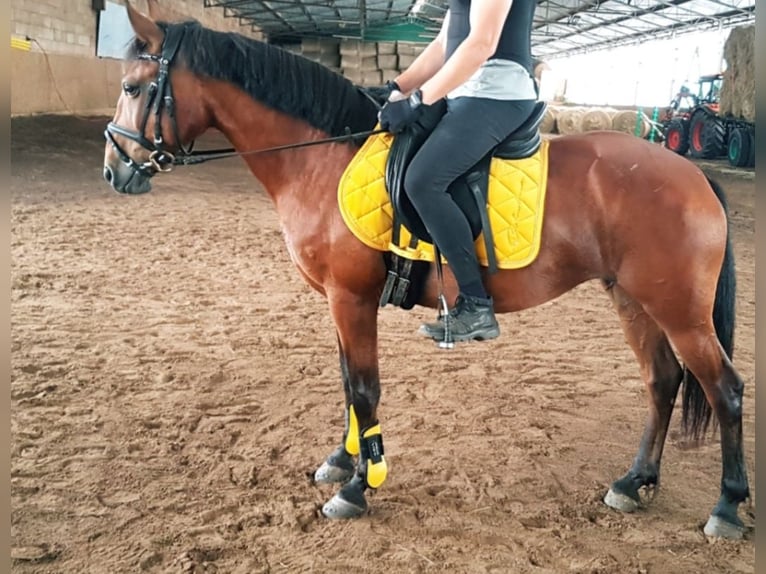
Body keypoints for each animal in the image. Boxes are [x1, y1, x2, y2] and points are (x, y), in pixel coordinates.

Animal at [100, 0, 752, 540]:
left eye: (133, 86)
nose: (113, 169)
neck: (323, 155)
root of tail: (692, 173)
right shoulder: (338, 300)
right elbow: (347, 382)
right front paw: (342, 462)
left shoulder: (351, 297)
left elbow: (364, 387)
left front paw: (360, 487)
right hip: (633, 299)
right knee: (663, 382)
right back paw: (633, 482)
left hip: (679, 311)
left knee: (725, 390)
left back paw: (726, 507)